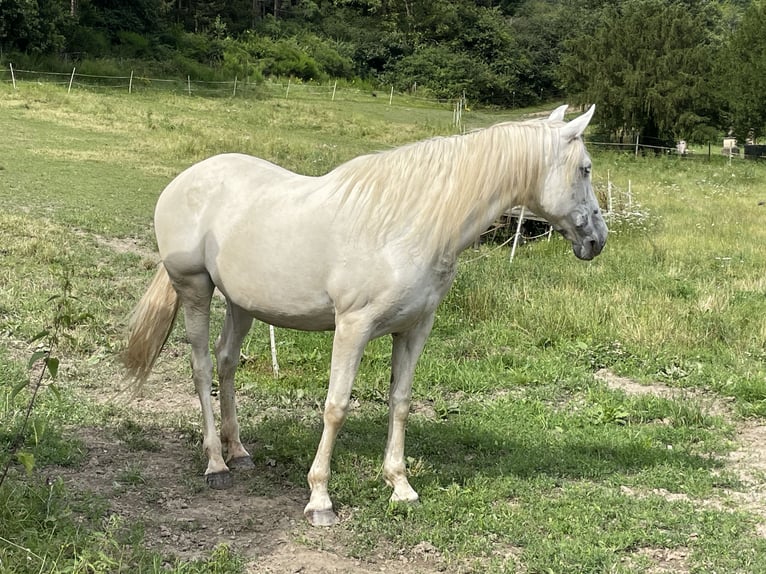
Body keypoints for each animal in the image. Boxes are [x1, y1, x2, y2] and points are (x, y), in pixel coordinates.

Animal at [123, 103, 608, 528]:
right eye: (585, 168)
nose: (598, 240)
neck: (408, 226)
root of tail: (185, 180)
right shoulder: (352, 328)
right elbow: (336, 406)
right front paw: (319, 499)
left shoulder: (414, 329)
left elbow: (401, 402)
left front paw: (401, 486)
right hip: (195, 289)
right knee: (202, 367)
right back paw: (215, 463)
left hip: (243, 304)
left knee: (226, 362)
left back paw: (238, 452)